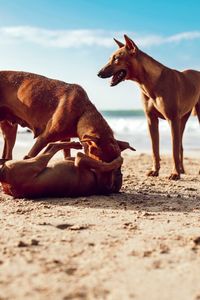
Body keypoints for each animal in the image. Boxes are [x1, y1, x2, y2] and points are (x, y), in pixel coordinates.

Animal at [97, 35, 199, 180]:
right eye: (109, 58)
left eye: (116, 59)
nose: (98, 73)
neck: (151, 82)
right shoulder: (151, 120)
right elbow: (155, 149)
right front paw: (155, 170)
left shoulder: (172, 120)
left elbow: (173, 150)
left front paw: (174, 173)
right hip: (183, 119)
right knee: (180, 145)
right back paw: (182, 169)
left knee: (178, 145)